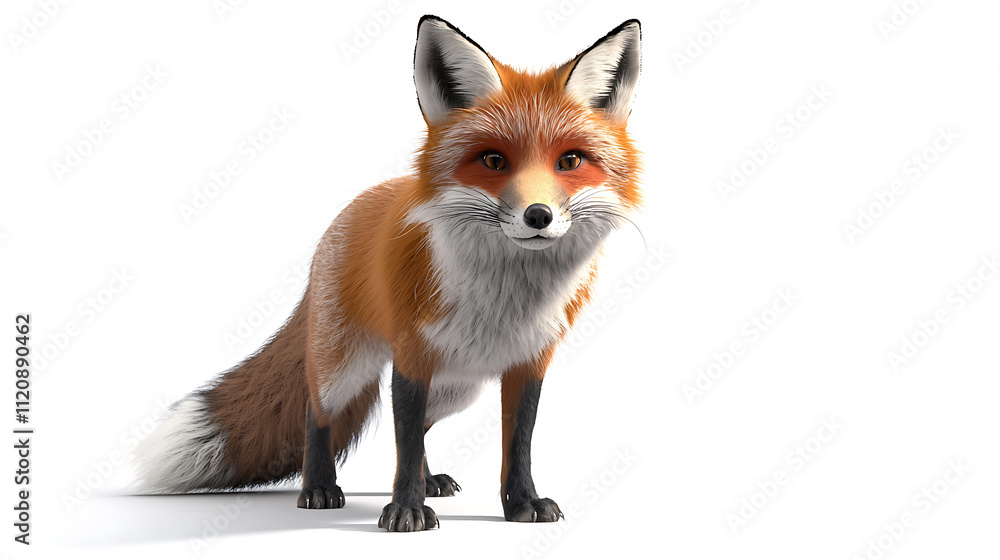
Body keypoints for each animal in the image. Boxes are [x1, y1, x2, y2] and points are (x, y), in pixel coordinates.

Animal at [135, 15, 642, 532]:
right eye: (493, 160)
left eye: (570, 161)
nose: (538, 216)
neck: (505, 298)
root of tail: (353, 208)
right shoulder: (411, 357)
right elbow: (403, 438)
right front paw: (405, 510)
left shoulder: (529, 361)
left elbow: (515, 445)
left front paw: (522, 503)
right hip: (344, 366)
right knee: (318, 415)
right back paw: (319, 488)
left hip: (459, 386)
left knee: (421, 431)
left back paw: (430, 479)